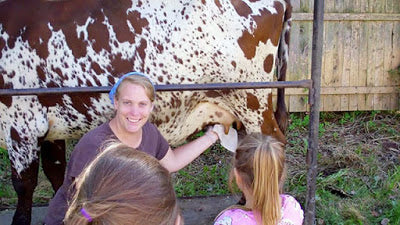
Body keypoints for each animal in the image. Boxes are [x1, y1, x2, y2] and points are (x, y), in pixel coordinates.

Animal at [0, 0, 290, 223]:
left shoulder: (20, 123)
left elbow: (24, 184)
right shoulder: (48, 127)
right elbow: (56, 175)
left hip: (251, 99)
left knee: (271, 144)